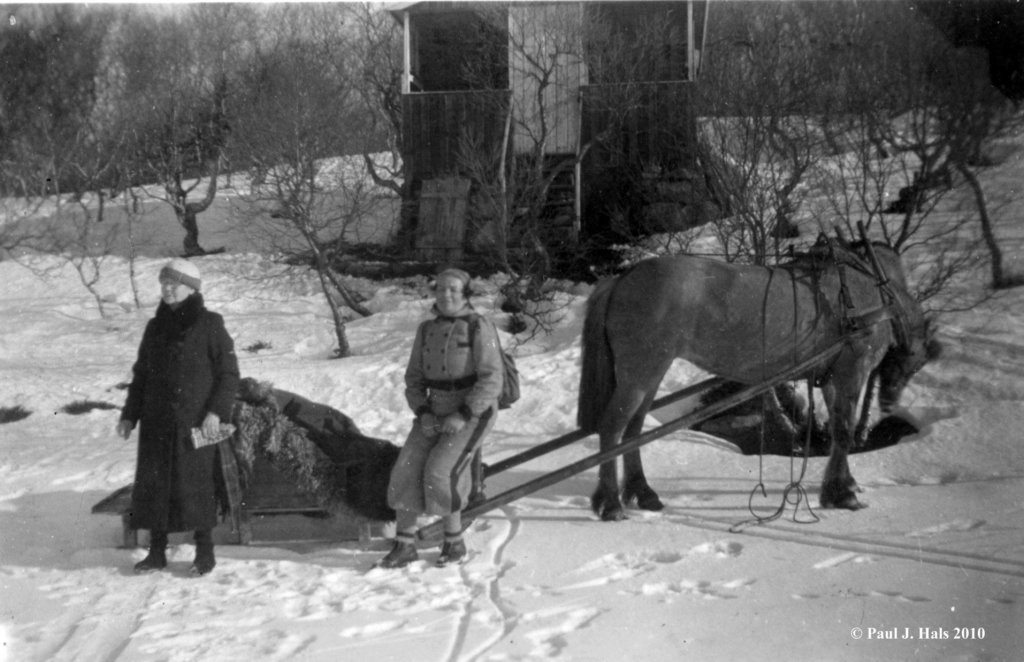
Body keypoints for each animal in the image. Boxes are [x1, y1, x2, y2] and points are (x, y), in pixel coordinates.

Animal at [577, 240, 937, 520]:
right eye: (917, 363)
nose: (889, 403)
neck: (873, 289)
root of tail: (622, 279)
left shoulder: (832, 378)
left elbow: (837, 431)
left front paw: (842, 486)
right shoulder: (851, 371)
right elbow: (844, 433)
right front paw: (842, 493)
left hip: (650, 373)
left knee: (633, 431)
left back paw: (643, 492)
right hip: (640, 372)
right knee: (613, 428)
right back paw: (610, 503)